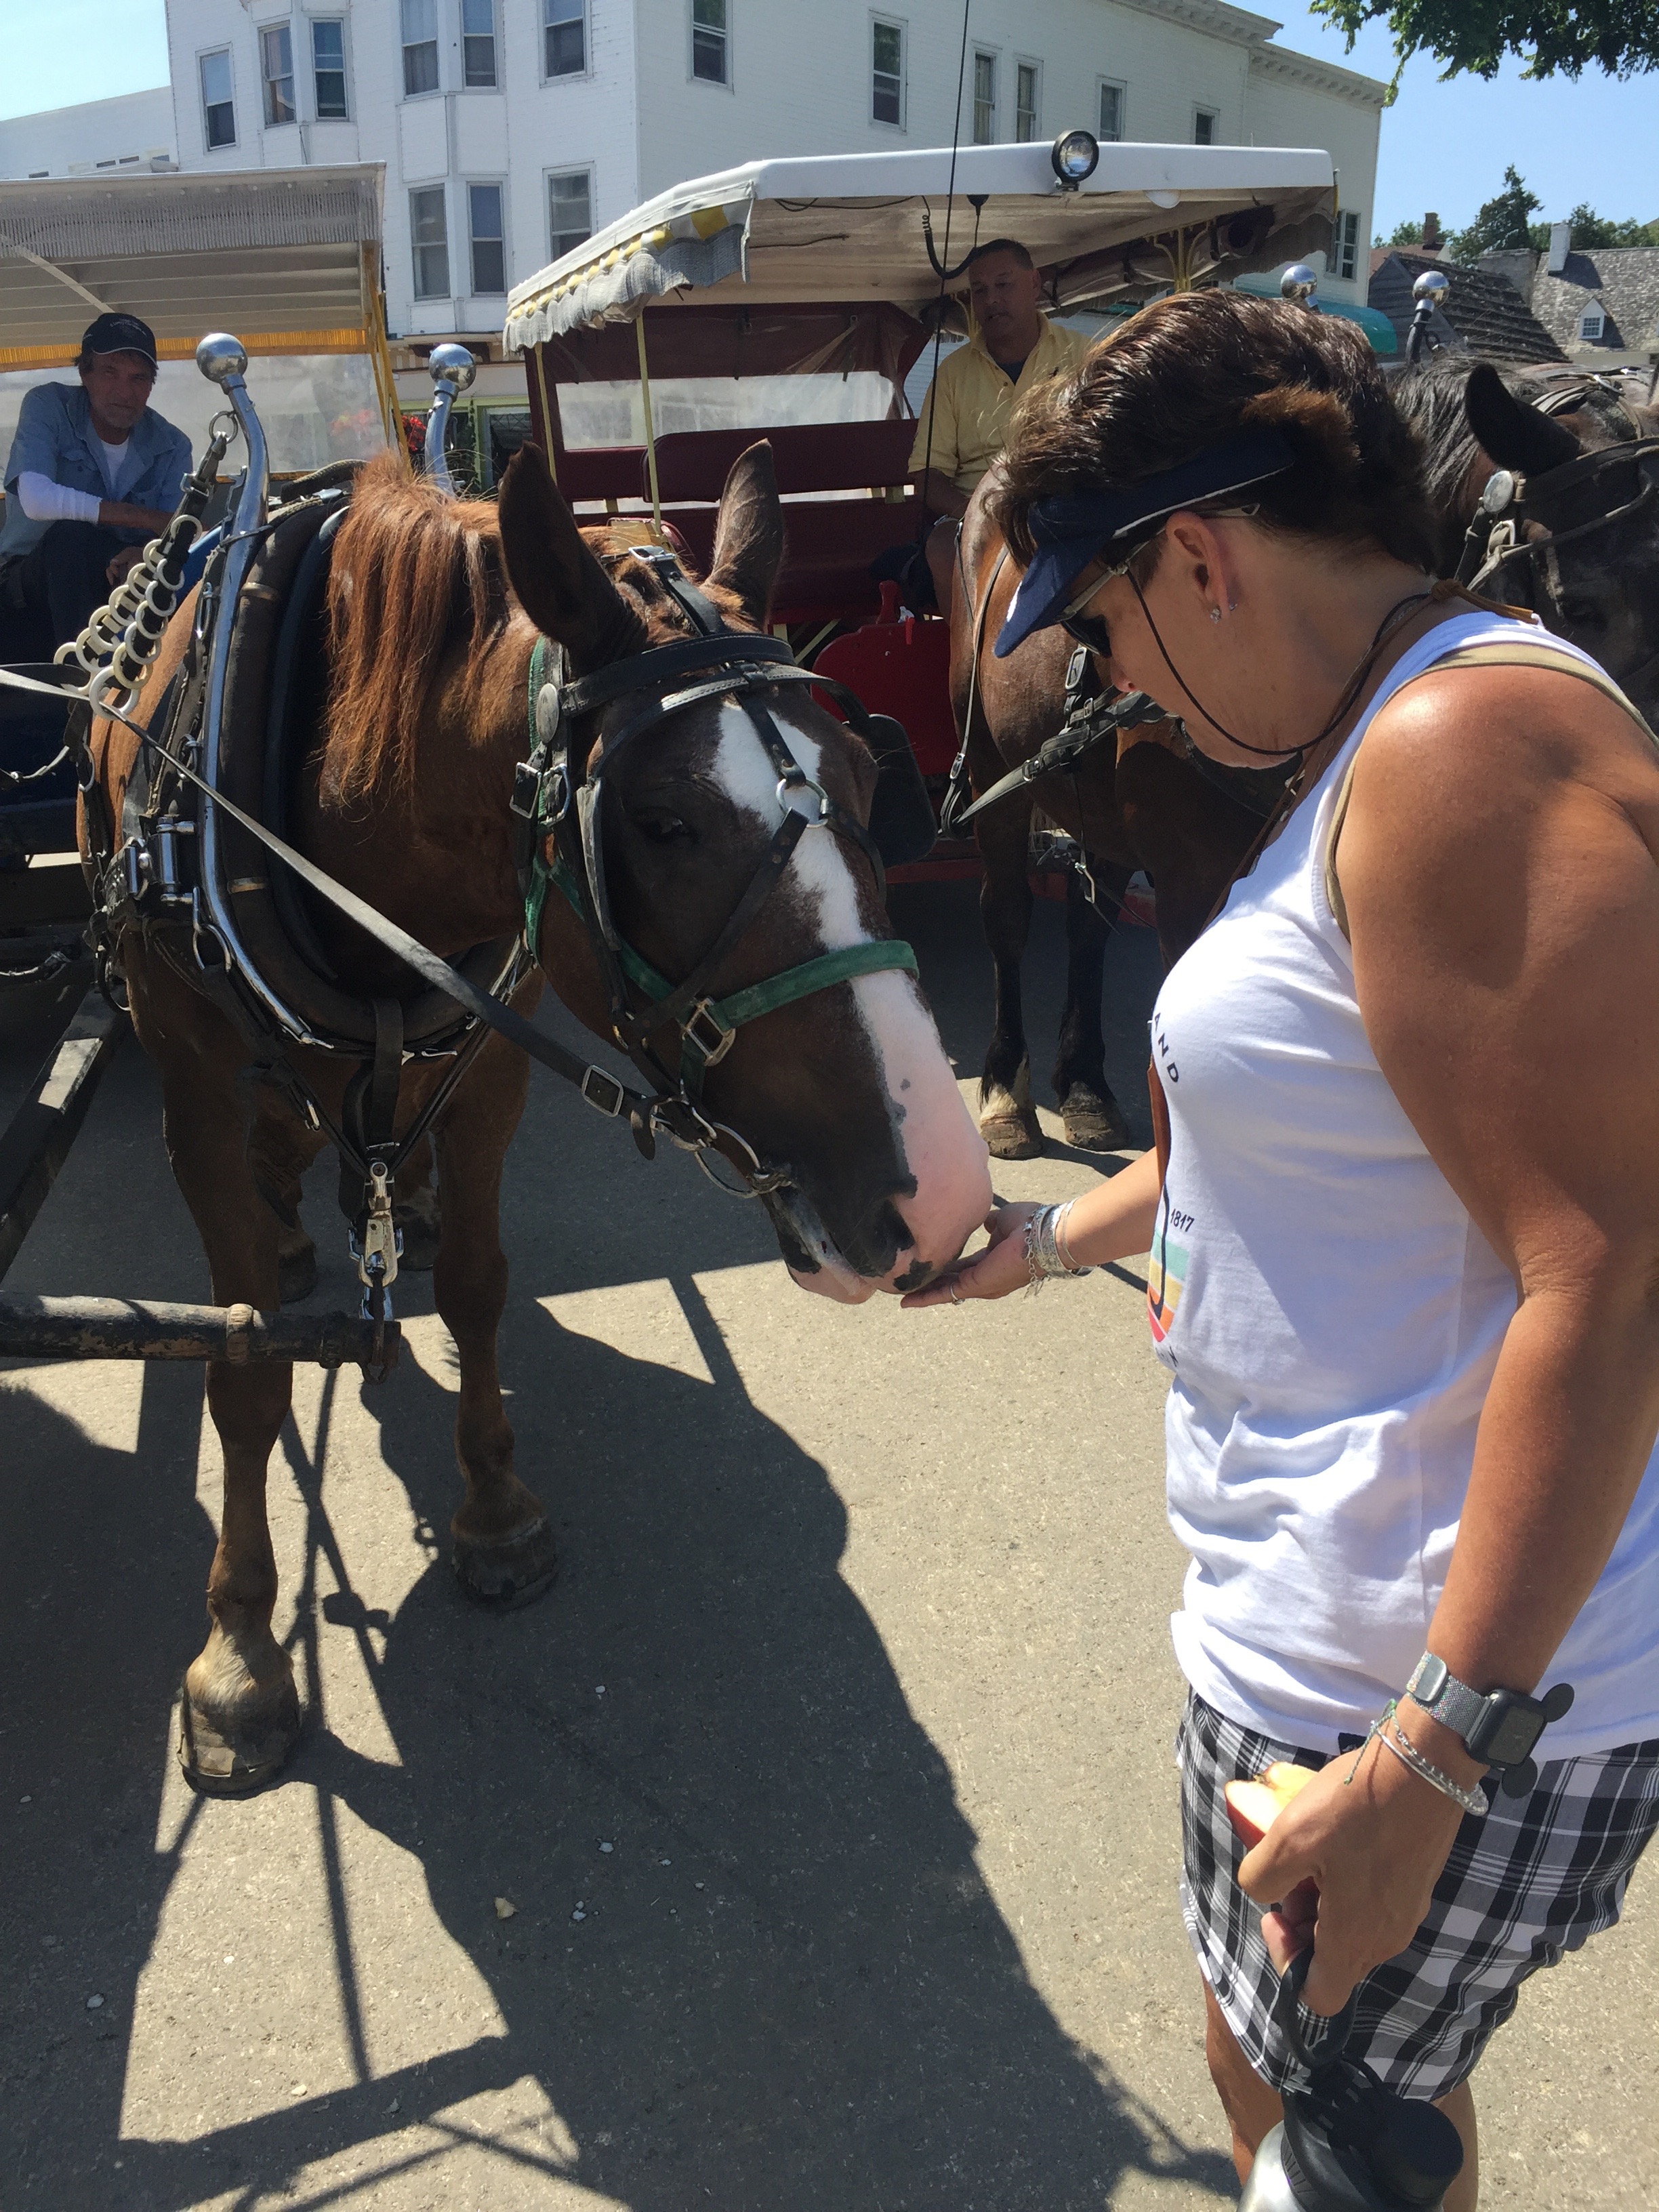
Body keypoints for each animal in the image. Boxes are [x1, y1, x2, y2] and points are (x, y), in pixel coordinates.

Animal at [84, 439, 991, 1794]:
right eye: (661, 822)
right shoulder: (188, 1081)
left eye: (873, 775)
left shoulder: (491, 1047)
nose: (938, 1190)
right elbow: (240, 1364)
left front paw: (495, 1508)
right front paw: (241, 1651)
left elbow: (475, 1287)